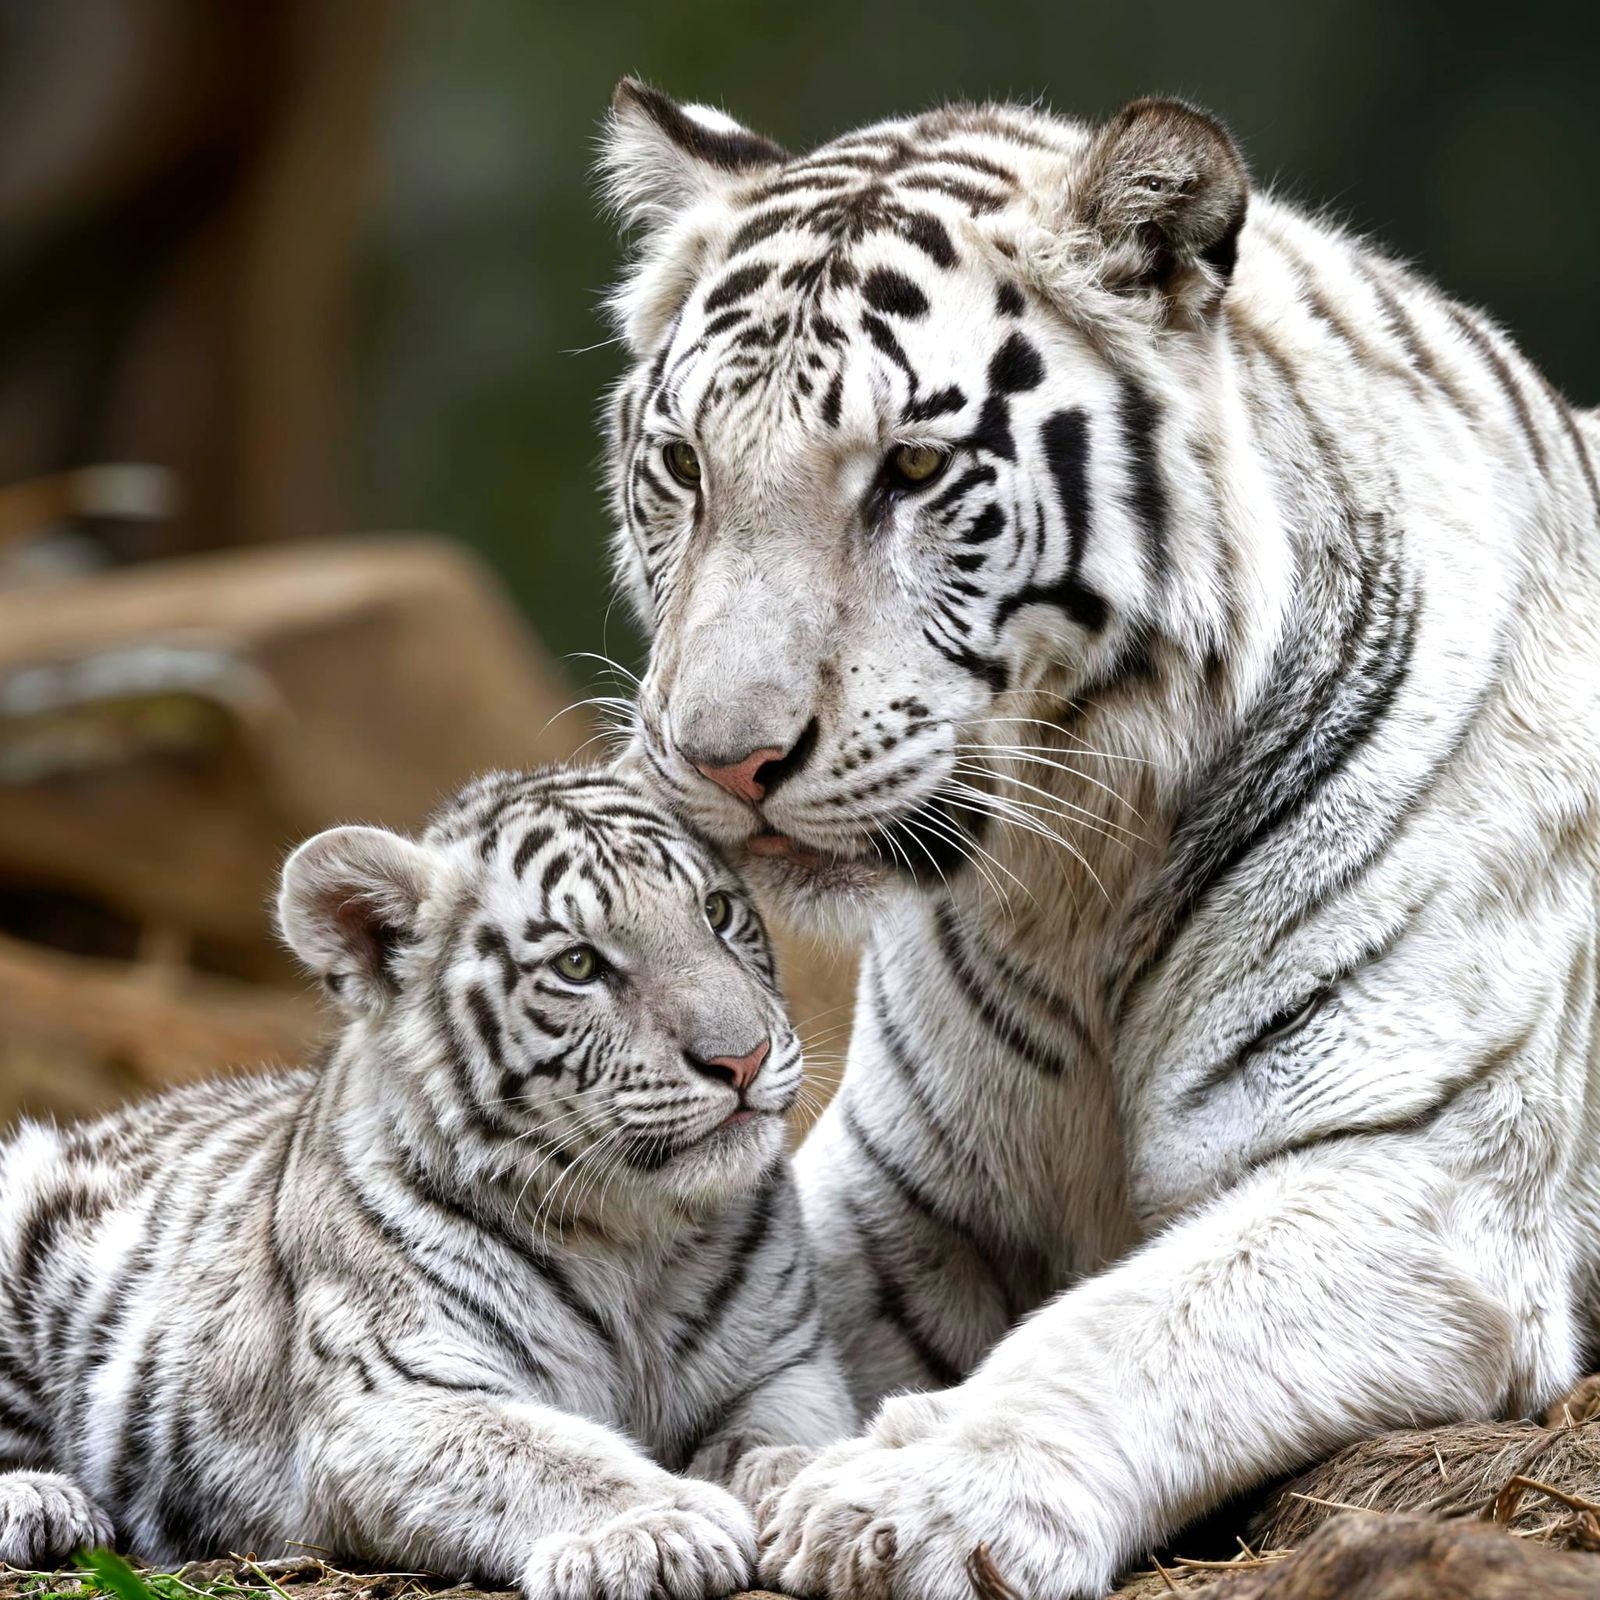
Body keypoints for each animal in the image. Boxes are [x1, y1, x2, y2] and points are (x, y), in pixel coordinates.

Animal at [0, 765, 854, 1597]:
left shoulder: (785, 1365)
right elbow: (547, 1454)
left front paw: (806, 1487)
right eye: (578, 964)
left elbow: (777, 1438)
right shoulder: (396, 1393)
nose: (741, 1059)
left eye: (717, 912)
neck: (633, 1233)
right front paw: (659, 1528)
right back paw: (42, 1502)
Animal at [597, 80, 1600, 1599]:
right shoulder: (901, 1182)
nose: (725, 758)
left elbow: (1127, 1331)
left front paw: (913, 1499)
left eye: (912, 468)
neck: (1073, 877)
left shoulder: (1414, 1173)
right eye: (683, 467)